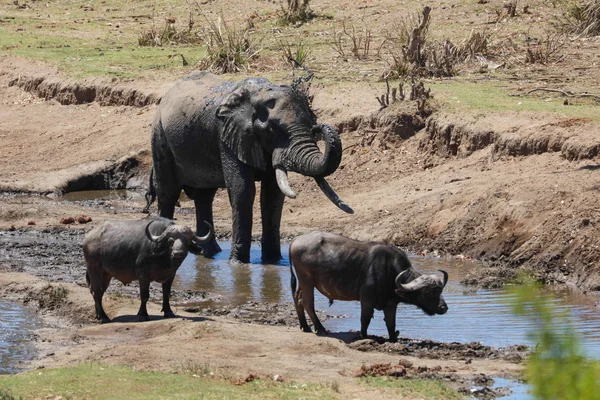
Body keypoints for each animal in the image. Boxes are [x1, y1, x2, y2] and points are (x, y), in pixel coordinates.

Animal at [81, 217, 213, 324]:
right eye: (170, 241)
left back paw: (98, 315)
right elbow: (144, 296)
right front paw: (143, 314)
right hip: (94, 269)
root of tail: (88, 238)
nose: (178, 253)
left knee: (99, 292)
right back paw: (104, 317)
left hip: (106, 274)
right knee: (96, 291)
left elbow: (166, 294)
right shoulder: (143, 276)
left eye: (186, 241)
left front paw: (168, 312)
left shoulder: (171, 275)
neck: (163, 258)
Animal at [145, 71, 352, 266]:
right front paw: (238, 263)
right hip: (159, 136)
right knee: (168, 193)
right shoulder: (228, 135)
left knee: (204, 196)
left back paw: (209, 253)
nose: (319, 127)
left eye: (311, 123)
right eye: (274, 129)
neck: (259, 94)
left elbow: (273, 196)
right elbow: (243, 191)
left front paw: (273, 261)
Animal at [288, 233, 448, 342]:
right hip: (307, 280)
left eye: (440, 290)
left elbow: (391, 324)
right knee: (307, 302)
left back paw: (305, 326)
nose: (443, 308)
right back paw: (320, 328)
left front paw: (393, 339)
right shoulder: (366, 300)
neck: (389, 271)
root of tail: (295, 240)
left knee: (297, 298)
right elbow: (365, 319)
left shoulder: (391, 304)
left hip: (303, 282)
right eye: (428, 292)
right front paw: (364, 336)